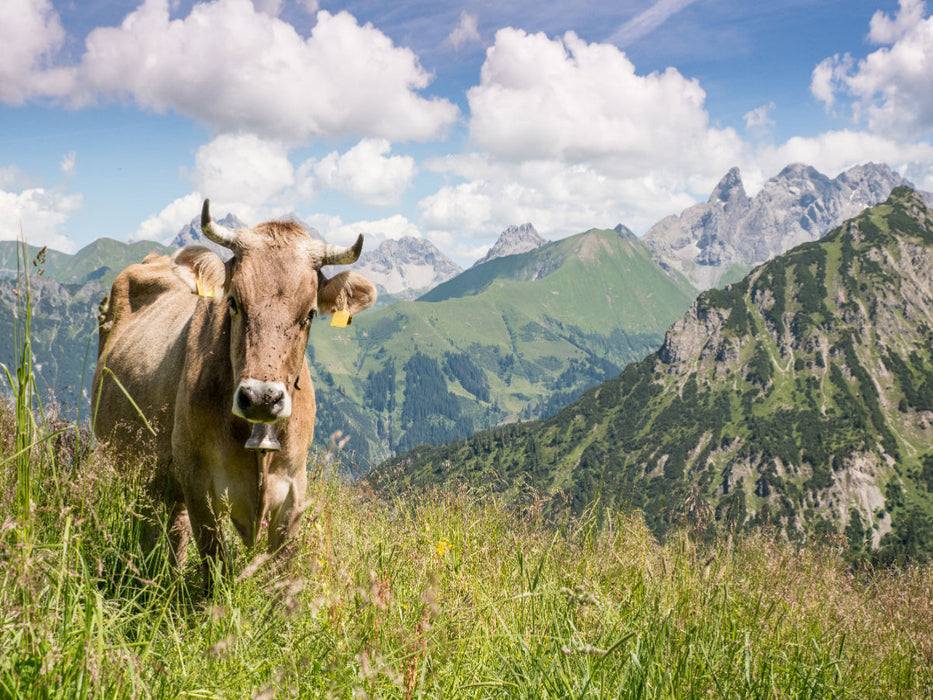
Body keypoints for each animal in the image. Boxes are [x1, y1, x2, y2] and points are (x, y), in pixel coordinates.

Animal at [93, 200, 376, 579]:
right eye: (234, 302)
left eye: (310, 314)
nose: (261, 398)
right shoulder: (198, 482)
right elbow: (216, 565)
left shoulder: (294, 489)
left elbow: (281, 572)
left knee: (173, 528)